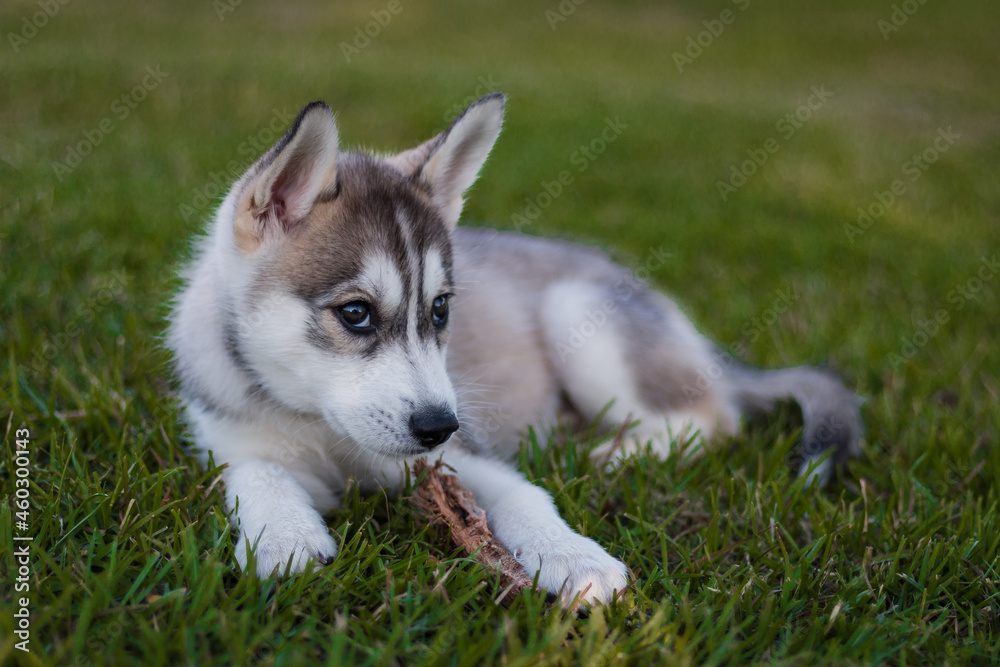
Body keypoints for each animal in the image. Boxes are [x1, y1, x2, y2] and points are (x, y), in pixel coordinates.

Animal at [168, 92, 864, 604]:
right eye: (356, 314)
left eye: (440, 310)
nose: (438, 424)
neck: (319, 424)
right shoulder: (227, 438)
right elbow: (253, 471)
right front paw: (283, 536)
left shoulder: (460, 457)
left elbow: (527, 494)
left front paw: (572, 555)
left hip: (578, 312)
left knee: (714, 417)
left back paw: (605, 453)